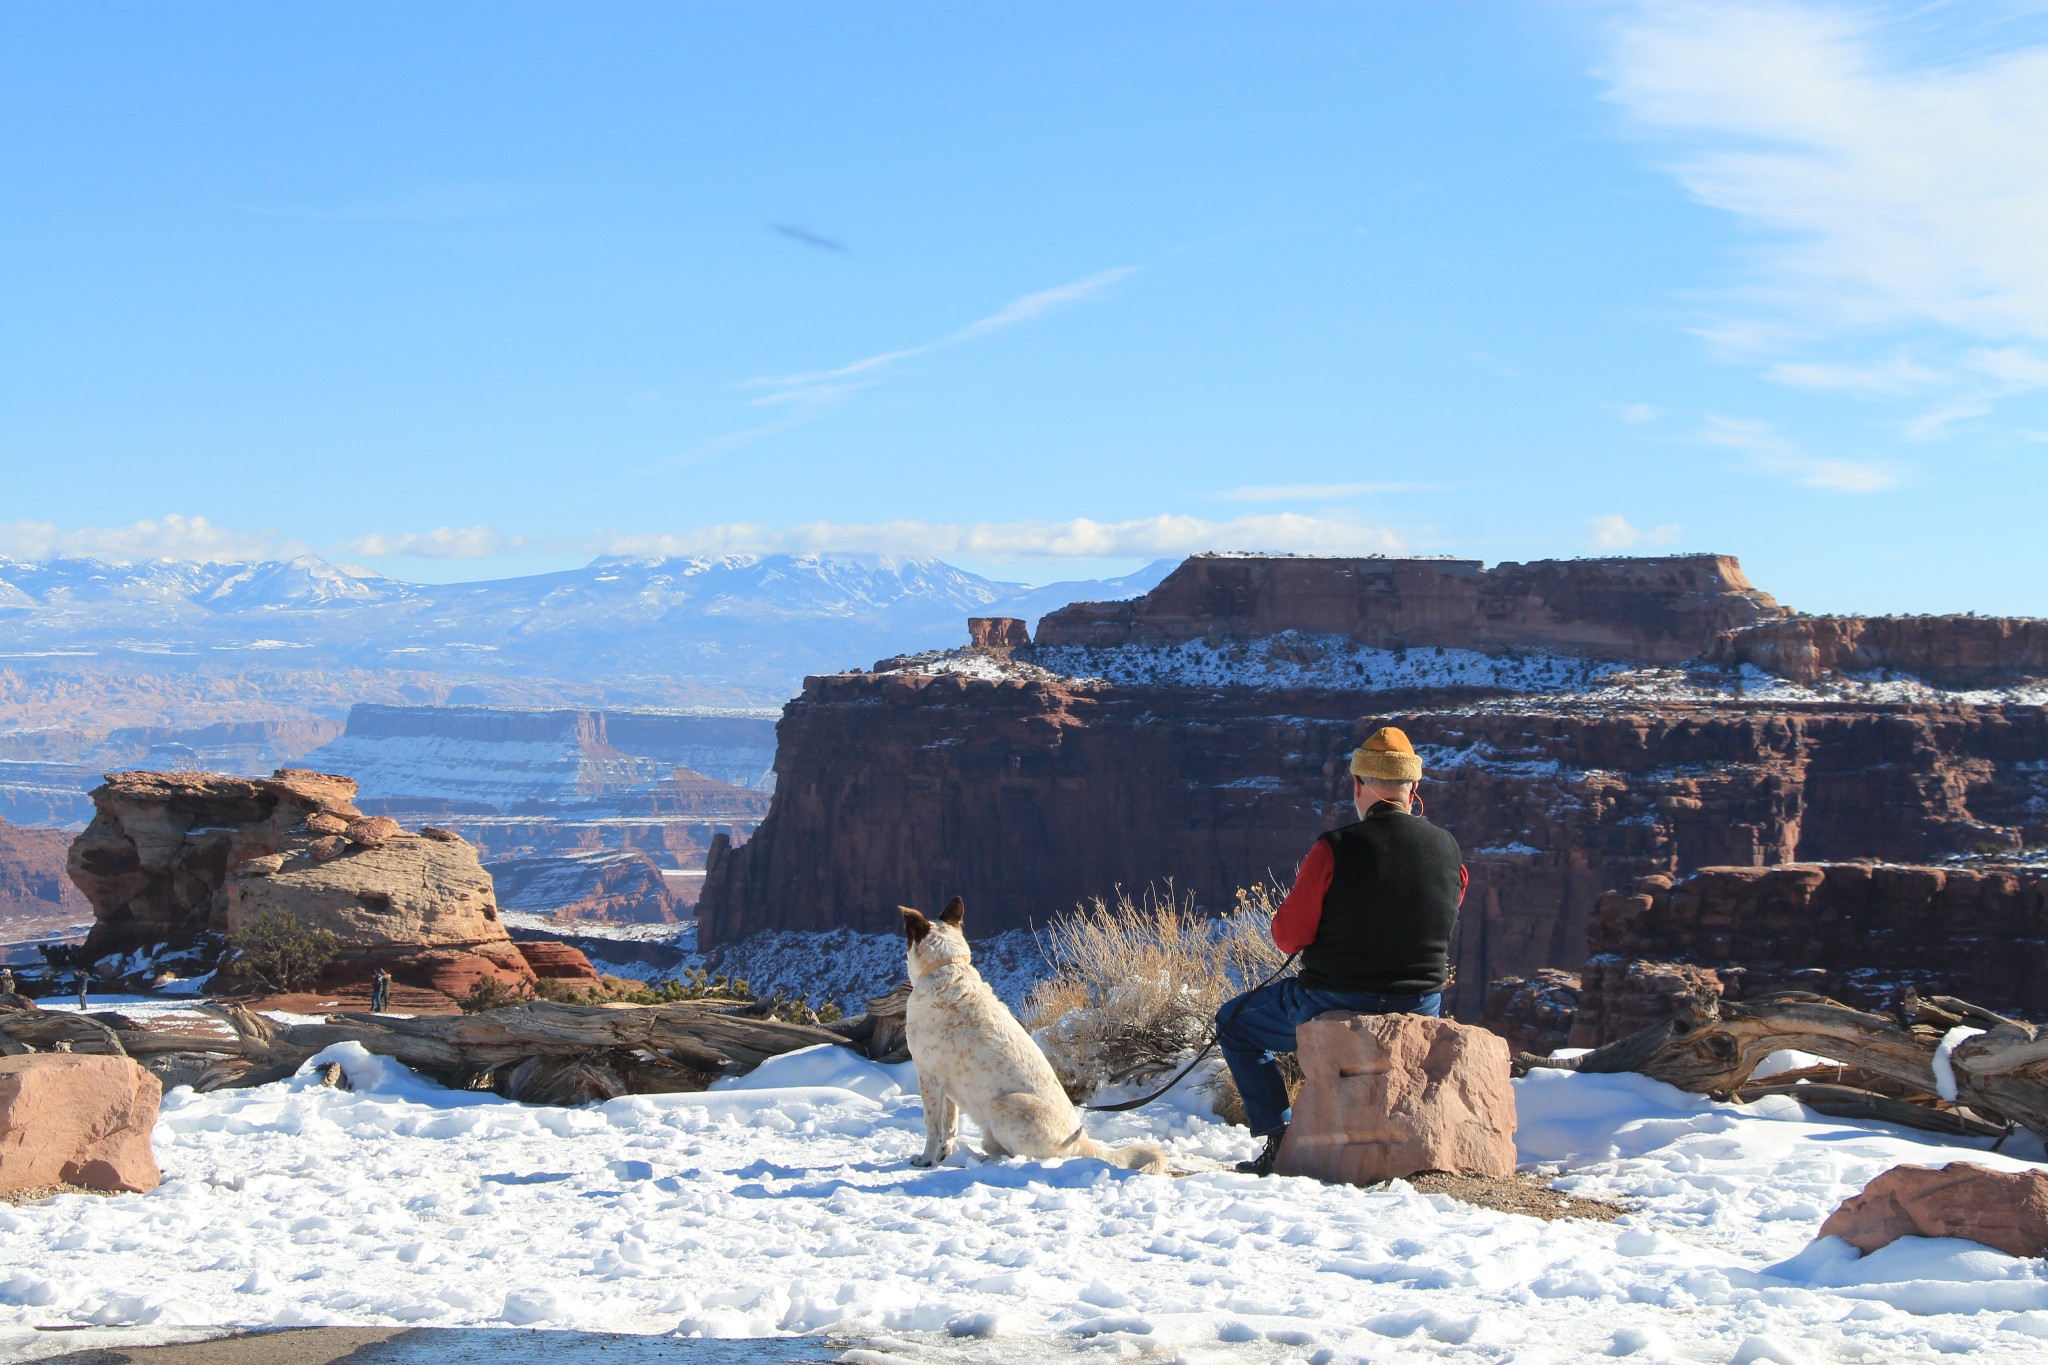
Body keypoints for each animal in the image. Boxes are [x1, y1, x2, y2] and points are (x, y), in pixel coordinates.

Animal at [901, 896, 1171, 1178]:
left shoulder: (929, 1078)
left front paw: (926, 1159)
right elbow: (949, 1126)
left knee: (1026, 1156)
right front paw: (944, 1155)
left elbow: (933, 1127)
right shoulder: (946, 1086)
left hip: (1005, 1107)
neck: (946, 966)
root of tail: (1082, 1142)